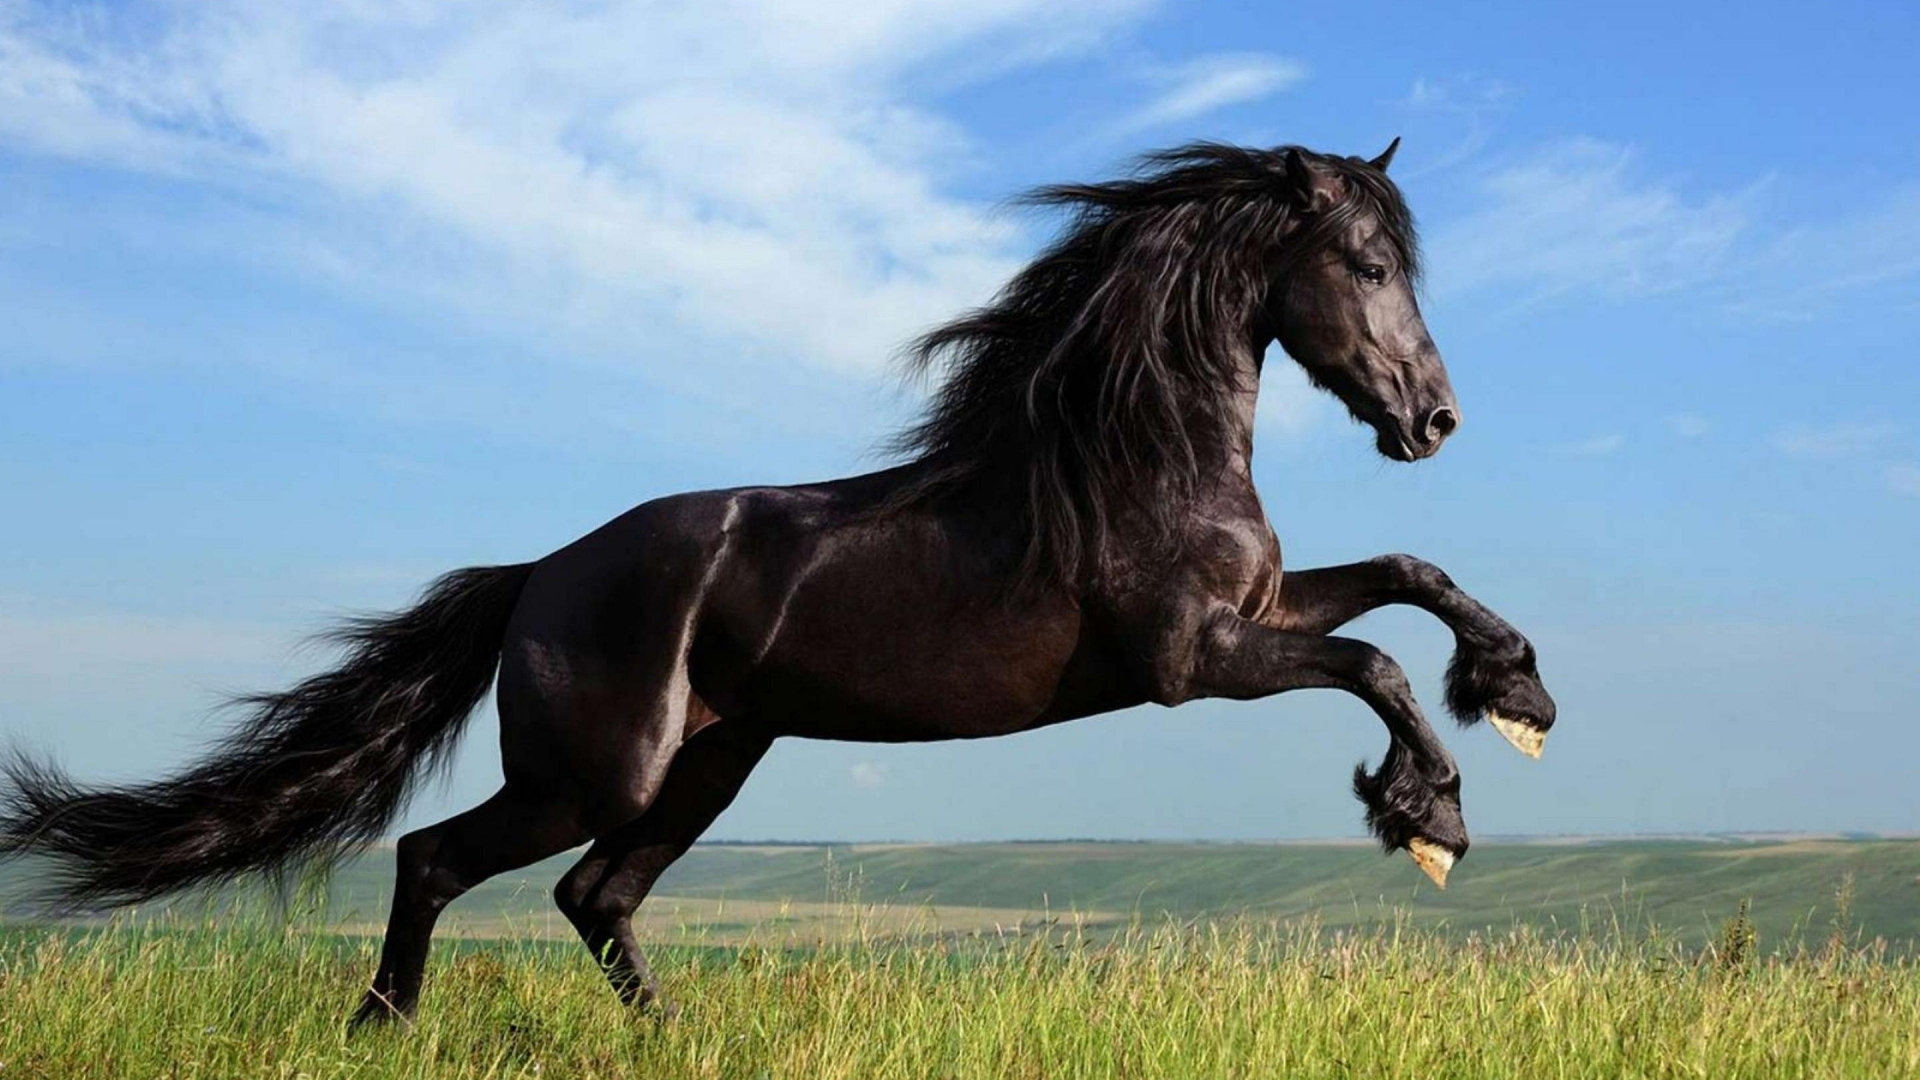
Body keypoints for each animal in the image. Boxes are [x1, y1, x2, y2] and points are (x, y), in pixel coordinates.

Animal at [0, 138, 1557, 1026]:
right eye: (1364, 261)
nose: (1433, 420)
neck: (1132, 455)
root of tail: (536, 576)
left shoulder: (1254, 614)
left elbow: (1408, 576)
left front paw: (1518, 695)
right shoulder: (1193, 661)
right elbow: (1372, 662)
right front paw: (1430, 817)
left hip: (711, 760)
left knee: (594, 899)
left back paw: (670, 1044)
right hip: (599, 770)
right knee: (442, 860)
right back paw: (380, 1031)